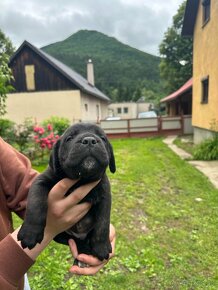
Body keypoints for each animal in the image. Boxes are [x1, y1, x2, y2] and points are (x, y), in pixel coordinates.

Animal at [17, 122, 116, 262]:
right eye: (69, 138)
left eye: (103, 138)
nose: (89, 140)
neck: (81, 179)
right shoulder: (40, 182)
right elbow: (36, 204)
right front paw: (30, 233)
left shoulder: (105, 197)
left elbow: (103, 223)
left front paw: (101, 247)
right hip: (59, 236)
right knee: (72, 240)